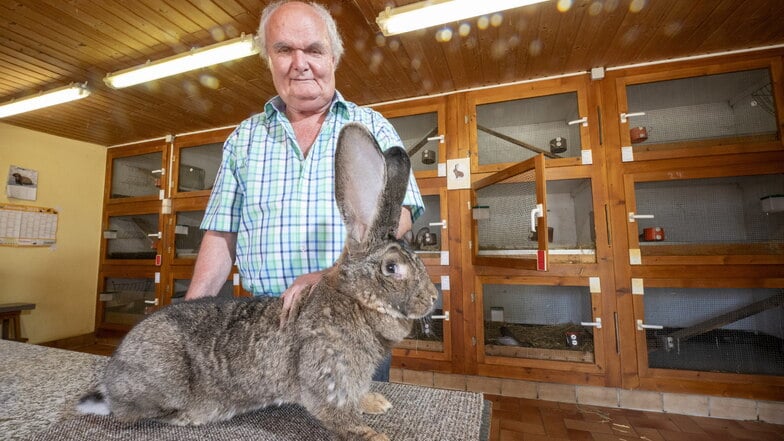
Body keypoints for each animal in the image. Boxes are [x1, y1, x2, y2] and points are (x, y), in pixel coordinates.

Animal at [78, 123, 440, 440]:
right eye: (392, 268)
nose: (433, 298)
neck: (356, 299)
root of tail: (112, 380)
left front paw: (376, 403)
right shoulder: (326, 377)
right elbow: (341, 418)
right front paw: (376, 435)